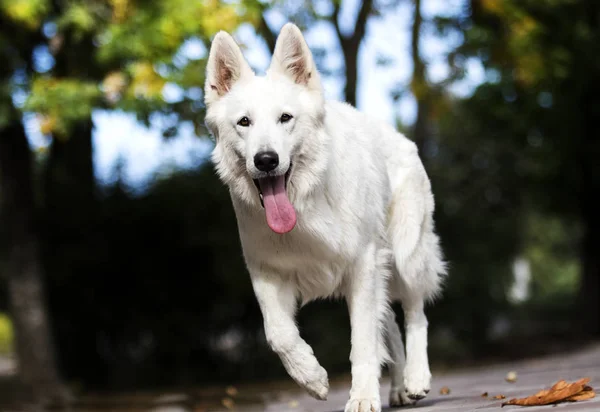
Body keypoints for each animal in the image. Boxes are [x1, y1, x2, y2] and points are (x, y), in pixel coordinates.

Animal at [205, 23, 446, 412]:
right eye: (244, 122)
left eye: (285, 118)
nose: (266, 160)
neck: (305, 206)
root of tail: (396, 134)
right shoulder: (266, 273)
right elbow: (279, 334)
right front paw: (312, 377)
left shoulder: (363, 266)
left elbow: (363, 342)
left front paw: (362, 398)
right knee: (391, 325)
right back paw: (397, 388)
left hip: (407, 256)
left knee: (415, 314)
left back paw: (415, 378)